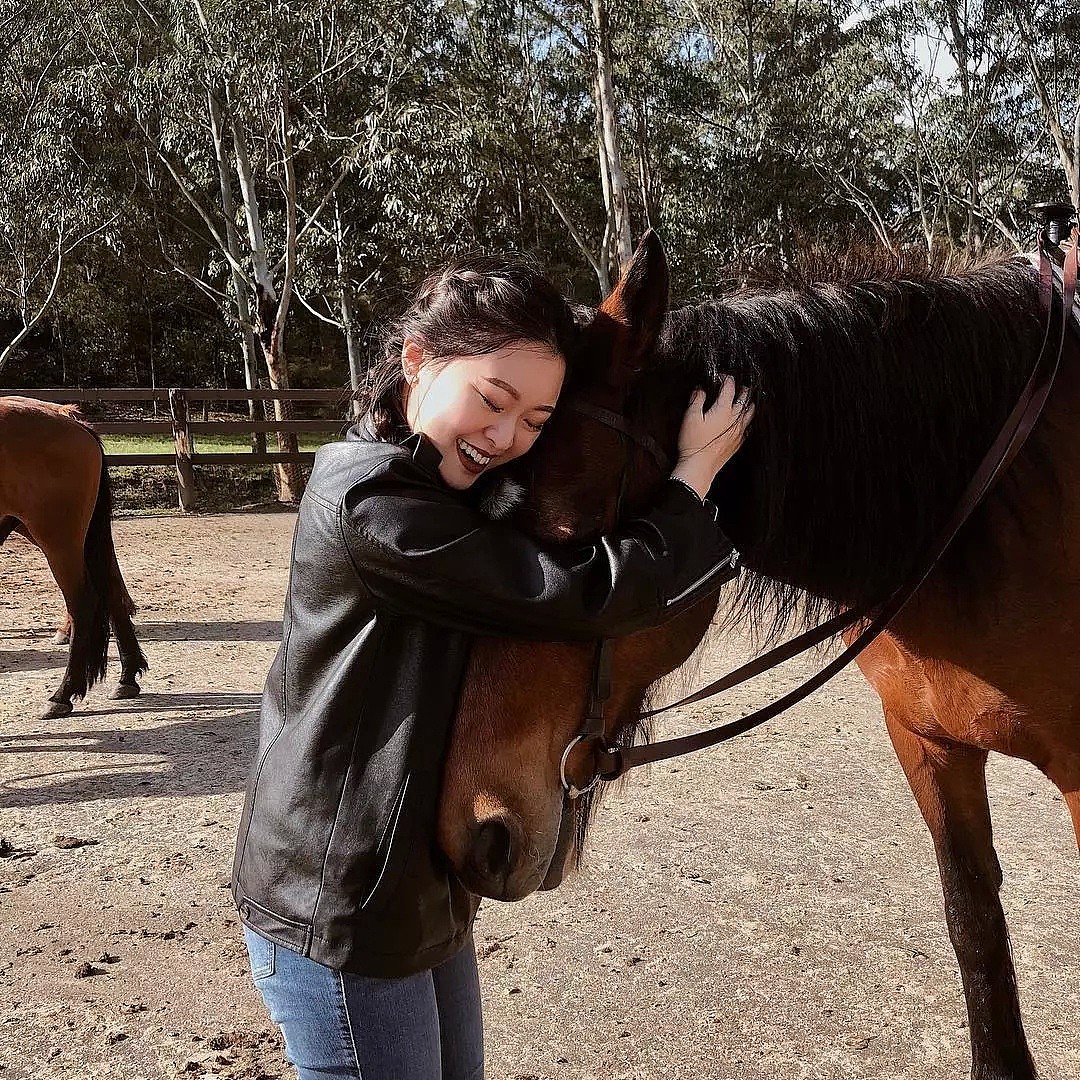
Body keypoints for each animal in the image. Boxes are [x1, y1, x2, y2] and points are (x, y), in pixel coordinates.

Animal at [0, 397, 147, 717]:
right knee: (112, 590)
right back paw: (127, 677)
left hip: (58, 539)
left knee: (84, 603)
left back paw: (63, 693)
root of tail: (68, 418)